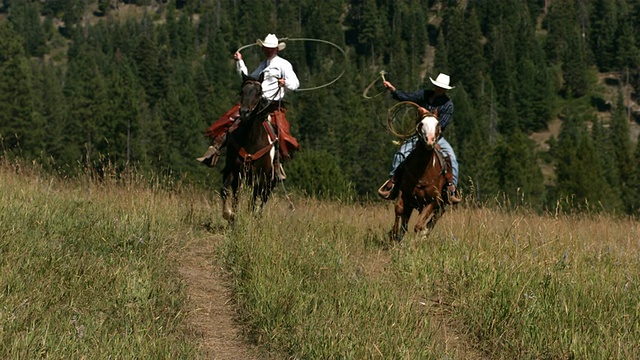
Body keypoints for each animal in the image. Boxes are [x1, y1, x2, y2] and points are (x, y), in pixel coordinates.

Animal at [221, 74, 278, 222]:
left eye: (259, 93)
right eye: (242, 91)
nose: (245, 112)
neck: (250, 139)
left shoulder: (260, 176)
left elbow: (252, 200)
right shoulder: (234, 171)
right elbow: (227, 193)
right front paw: (230, 215)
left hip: (269, 181)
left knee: (262, 199)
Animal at [388, 112, 448, 242]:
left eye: (438, 124)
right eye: (421, 123)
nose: (430, 140)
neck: (423, 171)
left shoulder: (433, 200)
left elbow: (419, 225)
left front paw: (421, 236)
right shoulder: (404, 193)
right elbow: (399, 209)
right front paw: (393, 234)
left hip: (441, 204)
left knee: (435, 217)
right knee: (405, 221)